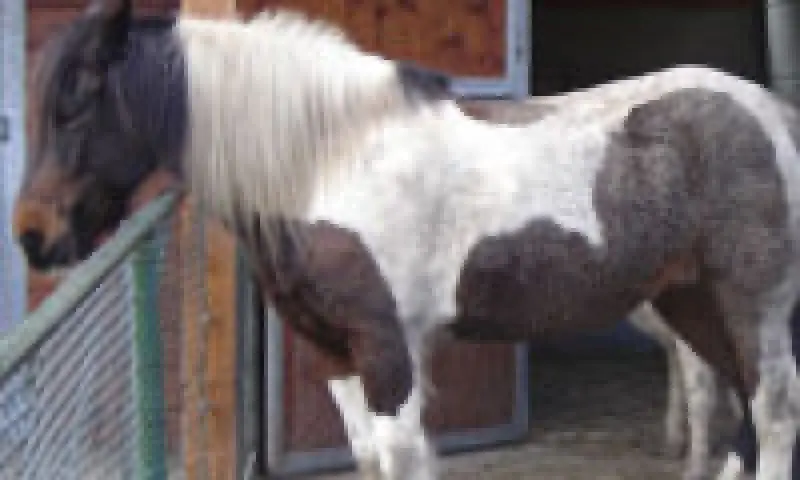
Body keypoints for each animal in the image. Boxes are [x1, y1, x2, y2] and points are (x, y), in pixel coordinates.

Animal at [13, 0, 800, 479]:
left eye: (79, 99)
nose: (32, 238)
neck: (329, 161)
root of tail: (770, 110)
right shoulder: (333, 351)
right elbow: (368, 459)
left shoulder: (390, 350)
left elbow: (399, 458)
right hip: (691, 303)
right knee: (738, 416)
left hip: (750, 308)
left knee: (773, 415)